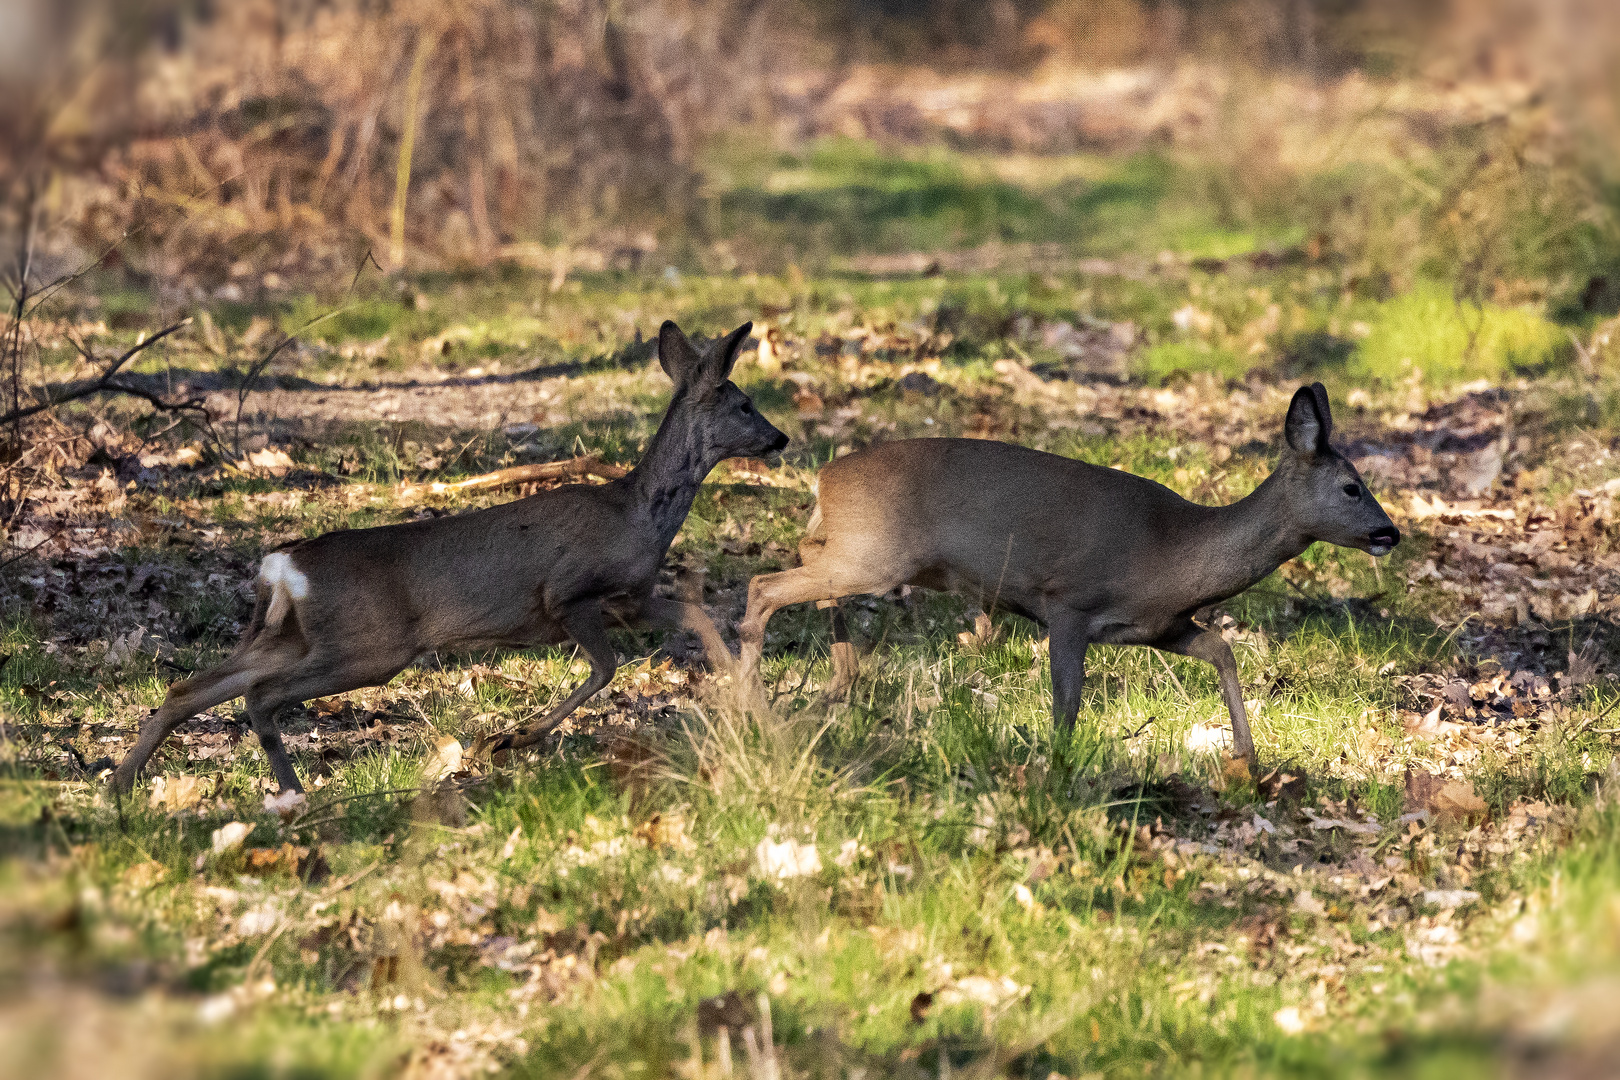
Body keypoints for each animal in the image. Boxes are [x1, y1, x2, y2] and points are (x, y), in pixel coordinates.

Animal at [115, 320, 790, 793]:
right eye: (743, 404)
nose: (780, 437)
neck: (638, 513)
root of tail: (282, 566)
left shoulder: (632, 598)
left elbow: (699, 618)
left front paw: (748, 694)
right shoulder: (568, 593)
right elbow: (605, 669)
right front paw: (515, 738)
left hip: (293, 635)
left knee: (190, 687)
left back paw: (123, 784)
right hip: (368, 643)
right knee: (258, 695)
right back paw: (292, 790)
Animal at [741, 383, 1399, 764]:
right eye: (1352, 486)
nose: (1390, 532)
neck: (1175, 552)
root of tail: (823, 478)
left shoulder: (1161, 626)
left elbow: (1222, 649)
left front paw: (1248, 757)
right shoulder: (1067, 602)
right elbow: (1067, 703)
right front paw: (1057, 766)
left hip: (854, 551)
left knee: (799, 562)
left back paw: (838, 680)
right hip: (876, 554)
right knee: (764, 585)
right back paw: (753, 706)